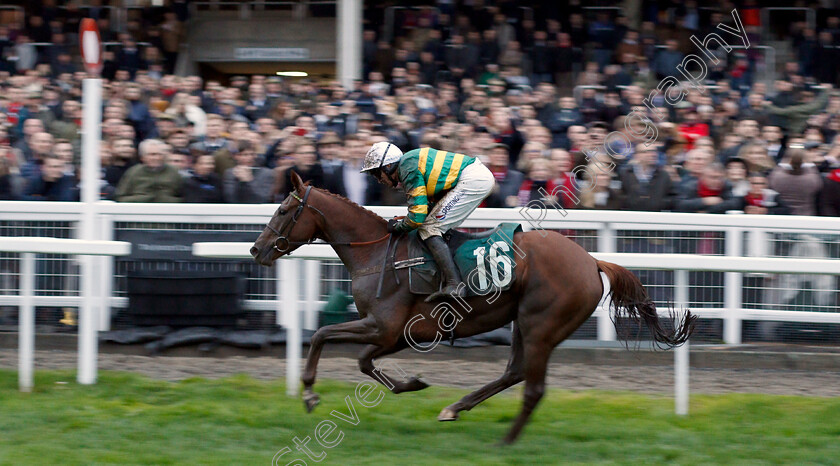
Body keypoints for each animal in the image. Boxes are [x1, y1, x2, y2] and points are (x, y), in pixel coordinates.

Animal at [251, 172, 696, 444]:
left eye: (284, 210)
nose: (256, 249)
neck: (377, 253)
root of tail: (591, 261)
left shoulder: (383, 326)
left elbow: (321, 335)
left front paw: (310, 394)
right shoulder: (399, 333)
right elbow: (362, 361)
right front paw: (413, 383)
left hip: (540, 323)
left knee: (531, 385)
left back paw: (504, 440)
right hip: (523, 323)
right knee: (515, 372)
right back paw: (455, 408)